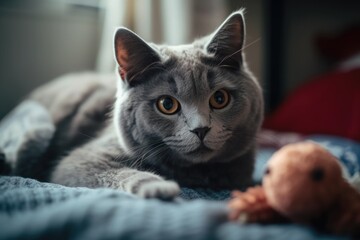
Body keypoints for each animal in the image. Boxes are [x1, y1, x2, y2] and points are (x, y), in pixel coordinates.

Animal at [3, 10, 262, 199]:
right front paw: (160, 188)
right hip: (38, 131)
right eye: (167, 104)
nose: (201, 129)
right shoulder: (79, 161)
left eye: (219, 99)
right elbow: (118, 173)